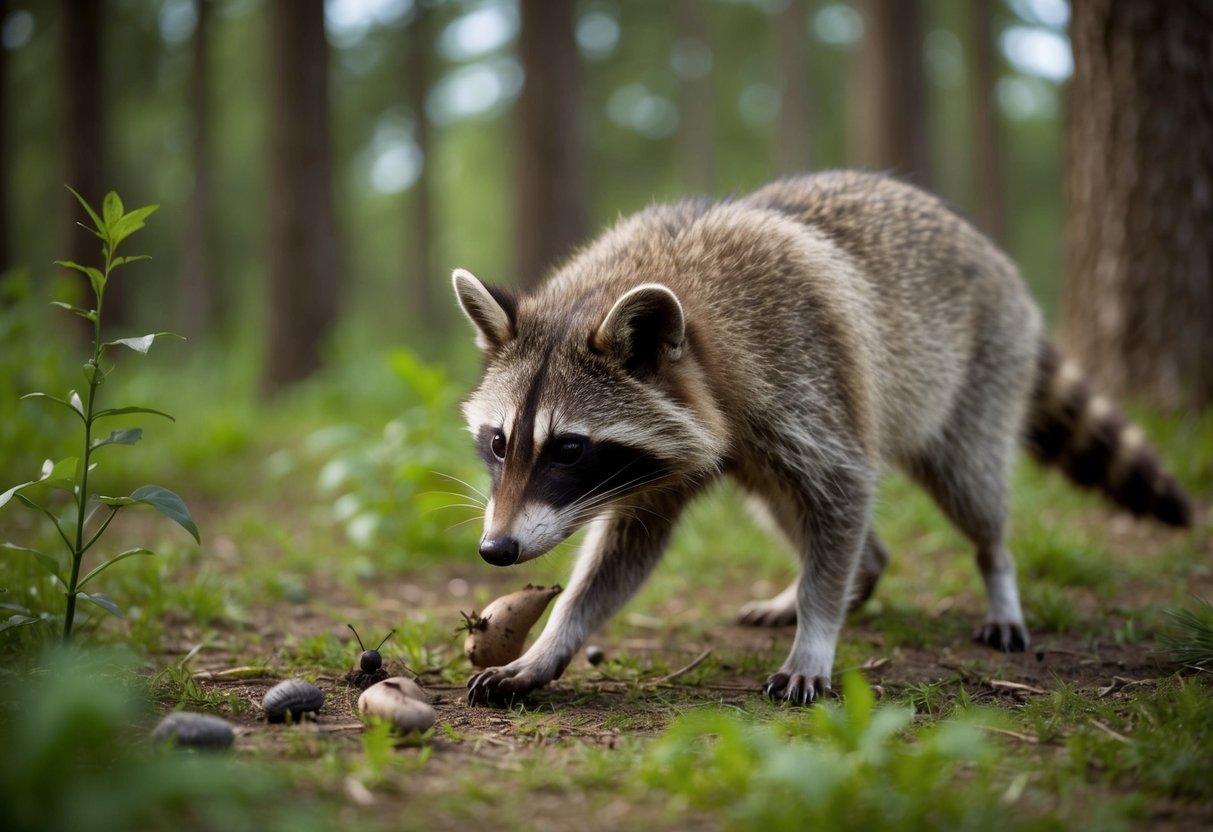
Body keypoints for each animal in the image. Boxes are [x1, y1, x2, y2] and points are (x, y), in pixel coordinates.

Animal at [452, 170, 1192, 706]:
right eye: (499, 442)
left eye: (569, 448)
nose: (496, 550)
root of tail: (983, 245)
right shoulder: (660, 464)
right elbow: (623, 553)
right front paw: (551, 642)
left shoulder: (805, 376)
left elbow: (845, 490)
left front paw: (817, 633)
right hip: (766, 462)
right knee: (791, 509)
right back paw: (852, 574)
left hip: (979, 373)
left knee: (969, 489)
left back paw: (993, 572)